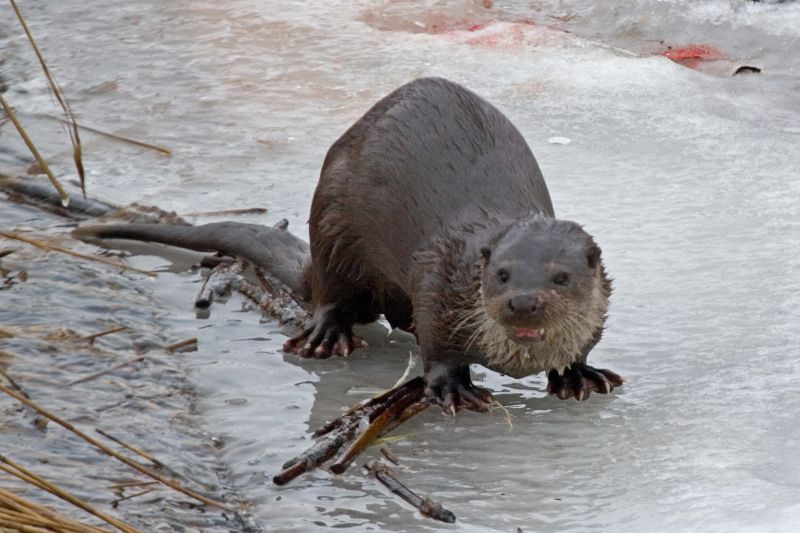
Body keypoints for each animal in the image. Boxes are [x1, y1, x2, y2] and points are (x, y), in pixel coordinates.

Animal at [73, 76, 624, 408]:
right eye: (502, 273)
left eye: (561, 277)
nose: (524, 302)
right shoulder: (438, 280)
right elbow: (437, 344)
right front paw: (453, 389)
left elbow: (583, 345)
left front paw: (578, 373)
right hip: (334, 229)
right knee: (333, 295)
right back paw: (325, 336)